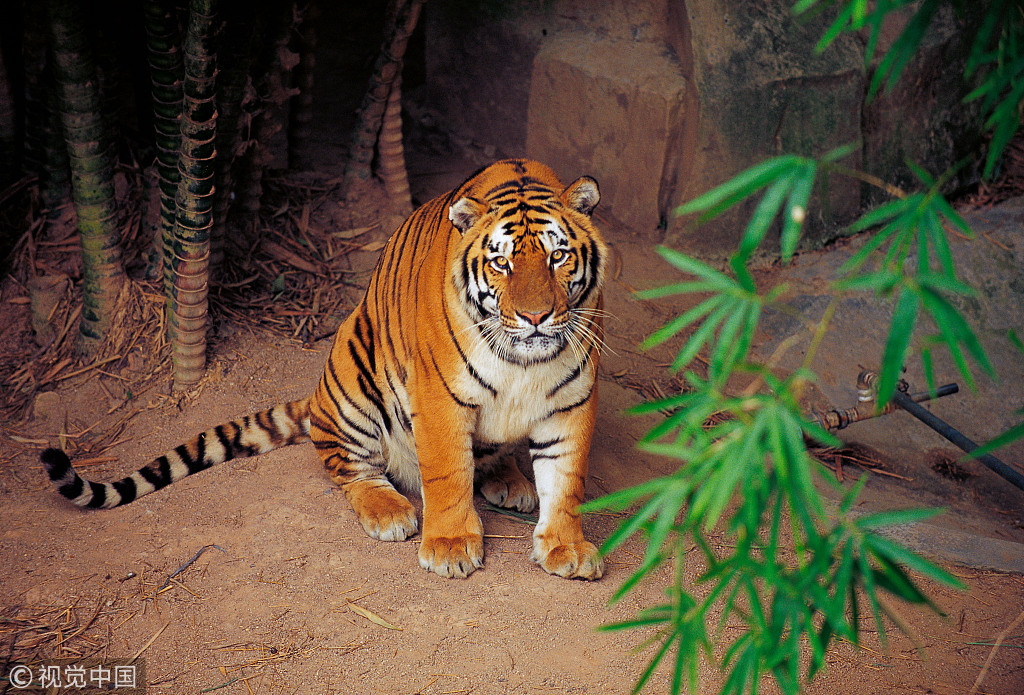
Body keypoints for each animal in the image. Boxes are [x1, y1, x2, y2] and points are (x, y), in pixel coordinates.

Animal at [41, 159, 608, 580]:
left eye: (558, 257)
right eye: (501, 263)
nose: (535, 317)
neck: (524, 360)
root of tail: (315, 401)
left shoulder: (573, 400)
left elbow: (566, 481)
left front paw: (566, 548)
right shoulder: (439, 399)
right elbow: (448, 472)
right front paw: (449, 546)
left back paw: (509, 480)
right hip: (354, 373)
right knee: (350, 466)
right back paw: (391, 512)